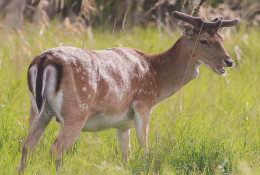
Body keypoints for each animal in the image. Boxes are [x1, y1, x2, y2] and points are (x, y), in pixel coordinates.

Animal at [18, 11, 240, 174]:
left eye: (221, 38)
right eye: (204, 40)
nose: (229, 61)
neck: (157, 76)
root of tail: (45, 60)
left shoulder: (123, 124)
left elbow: (127, 156)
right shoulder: (143, 103)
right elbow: (145, 148)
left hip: (37, 110)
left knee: (27, 146)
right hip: (75, 112)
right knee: (55, 149)